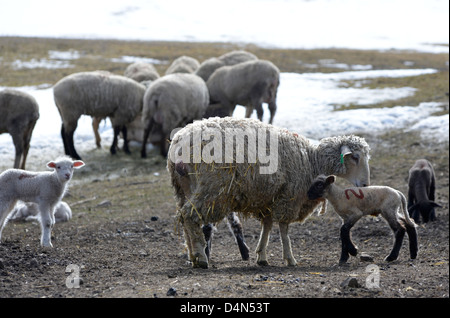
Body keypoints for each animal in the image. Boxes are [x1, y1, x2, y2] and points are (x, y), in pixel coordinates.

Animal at [167, 117, 370, 268]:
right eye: (355, 157)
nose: (366, 184)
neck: (311, 159)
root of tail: (179, 145)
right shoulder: (289, 196)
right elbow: (284, 229)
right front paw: (290, 258)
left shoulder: (270, 198)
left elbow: (267, 225)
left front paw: (262, 256)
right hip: (211, 190)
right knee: (190, 216)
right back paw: (201, 257)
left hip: (183, 190)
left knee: (183, 218)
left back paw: (192, 256)